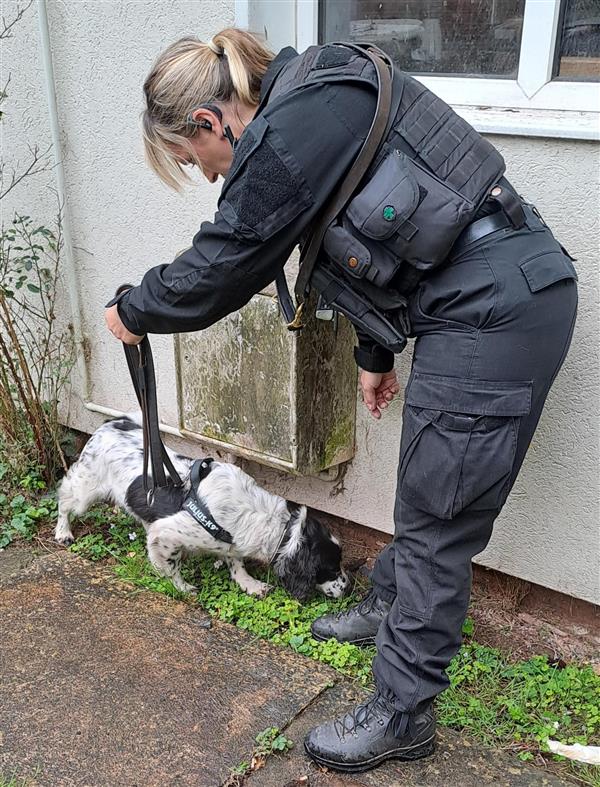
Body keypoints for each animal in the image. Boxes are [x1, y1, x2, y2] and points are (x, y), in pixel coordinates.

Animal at [56, 416, 350, 600]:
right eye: (332, 568)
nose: (348, 588)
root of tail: (113, 422)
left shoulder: (230, 540)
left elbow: (235, 562)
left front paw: (249, 584)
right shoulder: (167, 534)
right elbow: (170, 566)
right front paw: (182, 587)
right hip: (85, 489)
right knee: (64, 497)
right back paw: (62, 531)